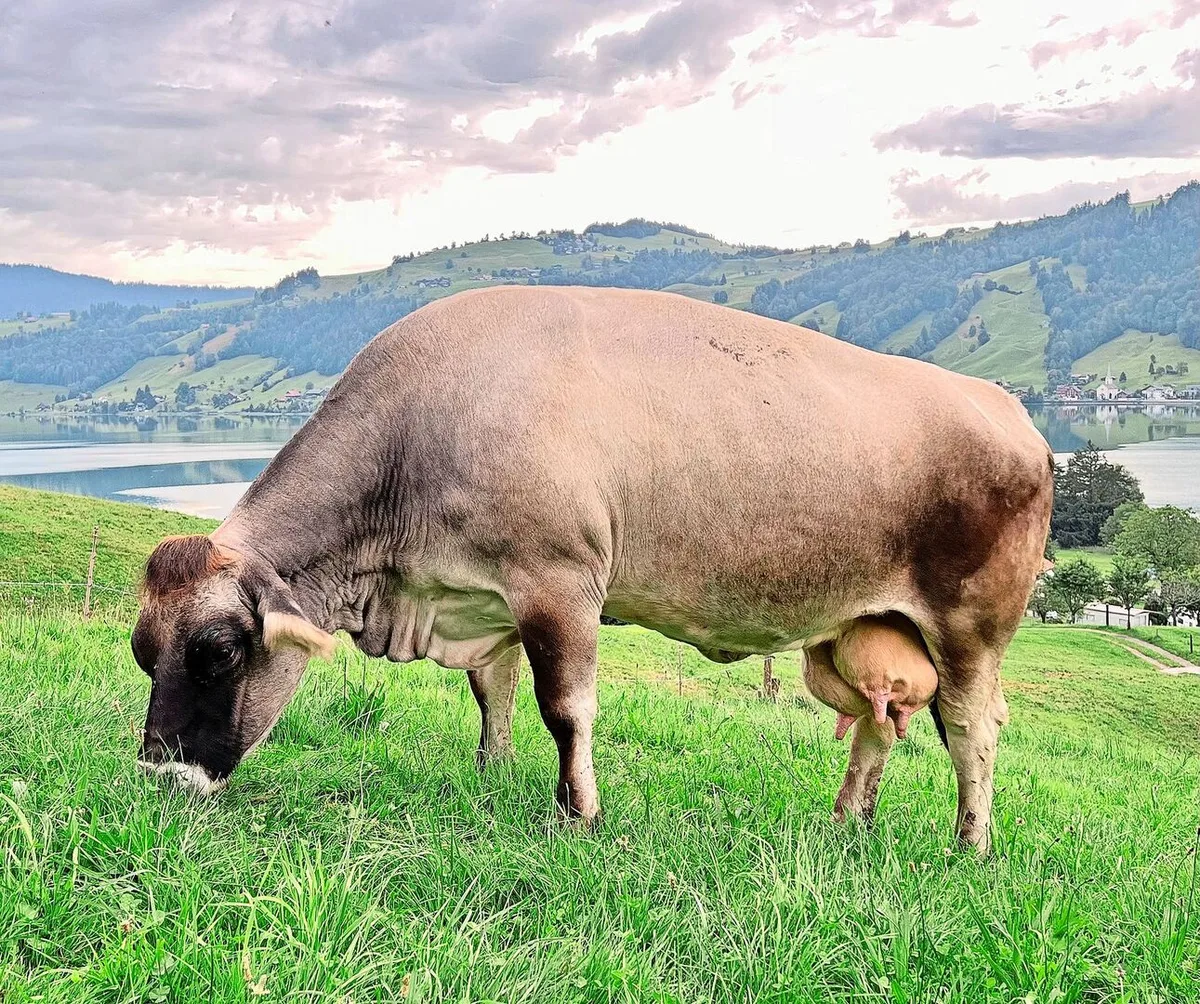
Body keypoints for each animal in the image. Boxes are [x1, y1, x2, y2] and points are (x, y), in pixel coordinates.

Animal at [133, 285, 1052, 852]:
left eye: (219, 650)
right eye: (144, 653)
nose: (159, 776)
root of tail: (1007, 409)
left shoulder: (561, 581)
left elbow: (565, 707)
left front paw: (577, 813)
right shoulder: (488, 591)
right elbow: (494, 691)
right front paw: (494, 771)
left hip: (973, 628)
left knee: (972, 731)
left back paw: (970, 845)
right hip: (859, 630)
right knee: (877, 724)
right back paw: (845, 822)